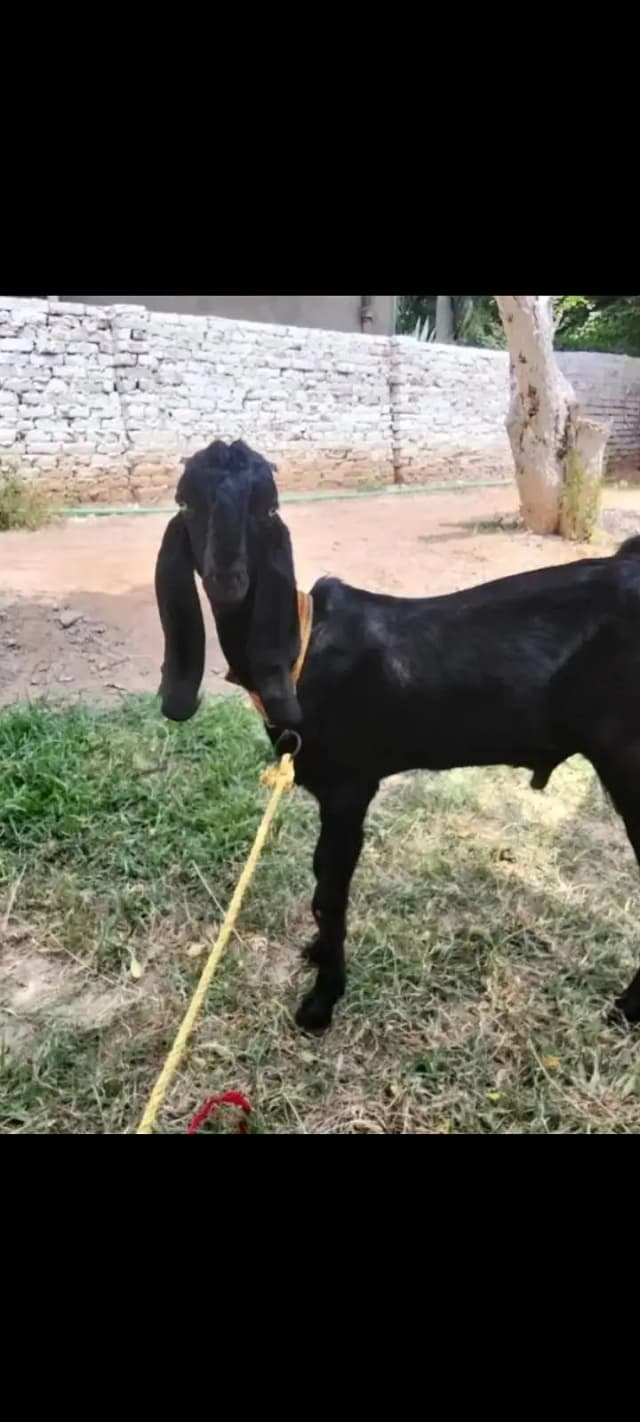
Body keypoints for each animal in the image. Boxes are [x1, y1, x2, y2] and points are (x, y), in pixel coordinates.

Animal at [155, 438, 640, 1033]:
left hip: (629, 755)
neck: (303, 648)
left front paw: (321, 1001)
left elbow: (329, 889)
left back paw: (627, 1008)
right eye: (186, 503)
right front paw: (317, 956)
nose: (228, 581)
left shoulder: (348, 787)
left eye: (267, 508)